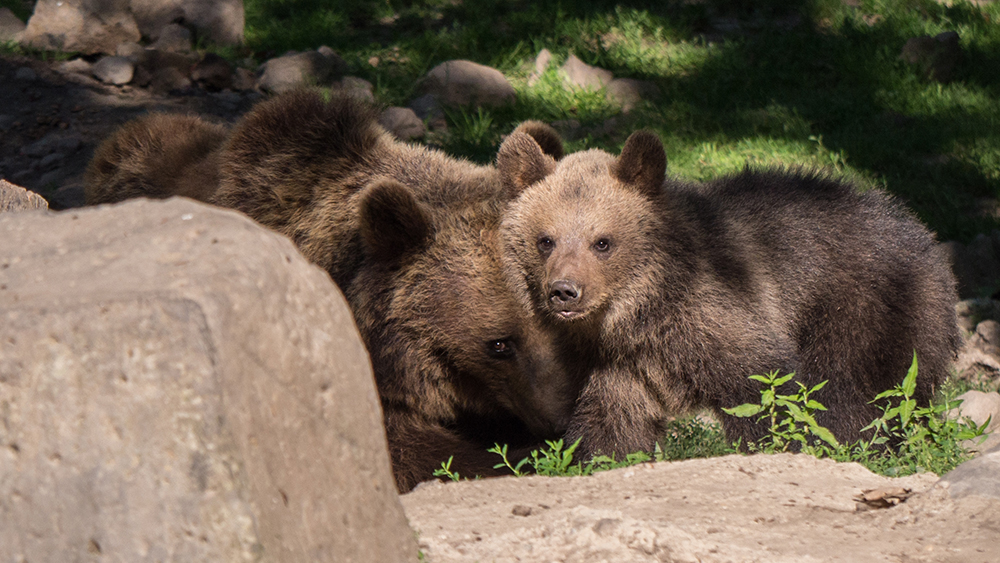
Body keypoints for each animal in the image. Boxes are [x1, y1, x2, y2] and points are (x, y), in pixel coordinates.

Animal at [500, 129, 960, 458]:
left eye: (602, 242)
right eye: (545, 240)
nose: (564, 291)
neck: (637, 312)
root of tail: (923, 236)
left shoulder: (717, 311)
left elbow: (766, 392)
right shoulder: (617, 365)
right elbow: (611, 427)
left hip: (867, 307)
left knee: (854, 393)